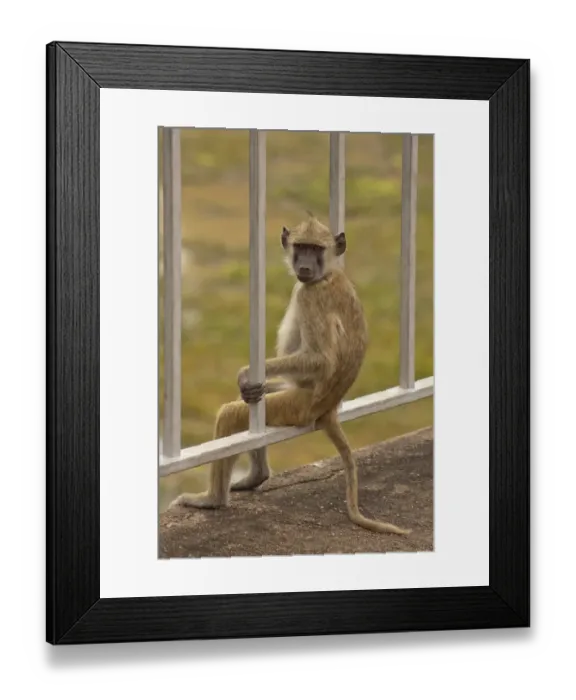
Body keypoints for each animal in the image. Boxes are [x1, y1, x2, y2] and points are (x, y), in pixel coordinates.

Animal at [170, 214, 411, 536]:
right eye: (301, 247)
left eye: (315, 249)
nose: (305, 266)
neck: (327, 275)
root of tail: (327, 410)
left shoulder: (310, 296)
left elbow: (321, 359)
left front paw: (246, 371)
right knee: (254, 402)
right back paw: (256, 476)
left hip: (298, 407)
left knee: (232, 414)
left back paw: (213, 500)